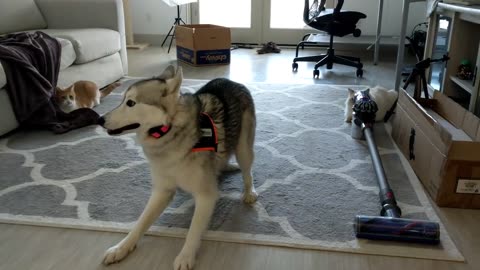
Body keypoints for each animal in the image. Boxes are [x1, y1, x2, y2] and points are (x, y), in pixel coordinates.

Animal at [97, 66, 258, 270]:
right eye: (122, 100)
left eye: (131, 103)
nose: (99, 119)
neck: (168, 132)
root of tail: (230, 81)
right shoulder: (161, 191)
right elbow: (141, 222)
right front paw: (121, 248)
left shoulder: (206, 197)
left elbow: (194, 230)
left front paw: (185, 256)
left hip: (243, 149)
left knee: (247, 171)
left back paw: (249, 191)